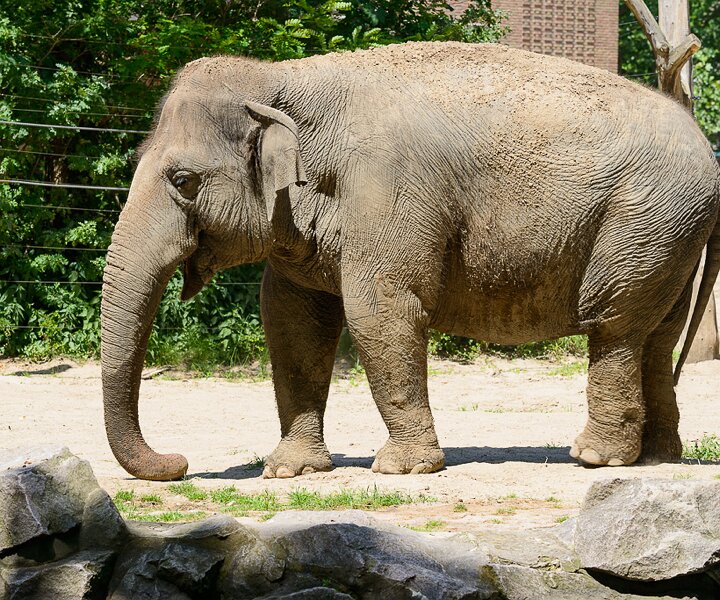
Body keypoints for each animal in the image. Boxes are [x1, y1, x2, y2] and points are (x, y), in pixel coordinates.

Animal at [101, 41, 720, 481]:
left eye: (184, 181)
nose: (179, 462)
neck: (283, 78)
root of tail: (709, 156)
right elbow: (291, 321)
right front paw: (288, 471)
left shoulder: (388, 191)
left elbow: (380, 310)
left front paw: (401, 468)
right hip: (671, 237)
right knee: (656, 338)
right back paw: (658, 458)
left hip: (642, 222)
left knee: (614, 325)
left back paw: (595, 459)